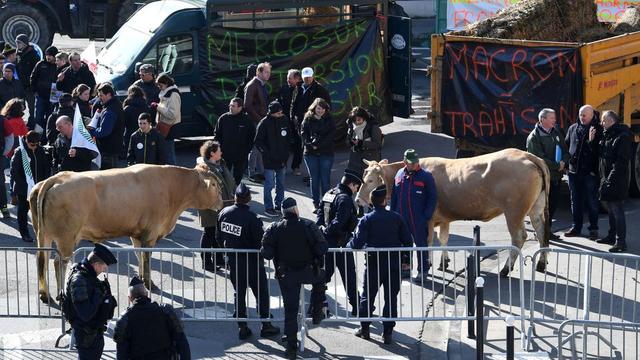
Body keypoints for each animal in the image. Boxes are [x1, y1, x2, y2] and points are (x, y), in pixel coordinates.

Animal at [31, 165, 224, 302]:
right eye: (214, 185)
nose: (222, 202)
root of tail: (57, 177)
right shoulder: (150, 233)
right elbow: (146, 259)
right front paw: (149, 283)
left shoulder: (137, 234)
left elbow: (140, 256)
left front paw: (142, 280)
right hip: (67, 238)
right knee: (58, 262)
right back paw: (60, 294)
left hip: (44, 235)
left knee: (42, 260)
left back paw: (44, 294)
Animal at [356, 148, 552, 274]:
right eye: (364, 177)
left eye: (371, 180)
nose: (357, 200)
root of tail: (527, 155)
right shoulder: (444, 218)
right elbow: (444, 239)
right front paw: (444, 262)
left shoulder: (428, 218)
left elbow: (428, 241)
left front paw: (428, 263)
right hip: (536, 208)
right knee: (542, 232)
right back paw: (541, 263)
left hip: (514, 211)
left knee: (519, 237)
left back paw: (505, 269)